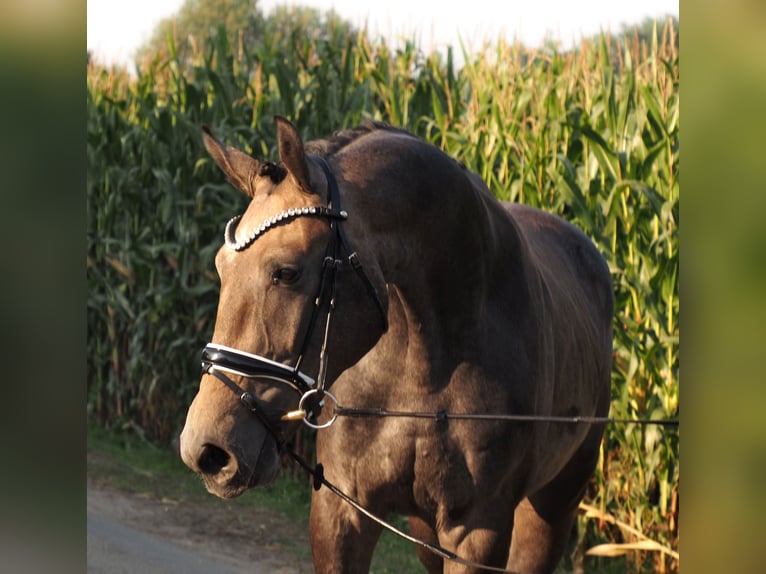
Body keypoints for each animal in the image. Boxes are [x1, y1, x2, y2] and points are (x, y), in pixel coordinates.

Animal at [178, 117, 612, 574]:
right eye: (220, 267)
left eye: (286, 272)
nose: (205, 449)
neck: (423, 367)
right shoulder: (341, 511)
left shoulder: (477, 531)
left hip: (552, 507)